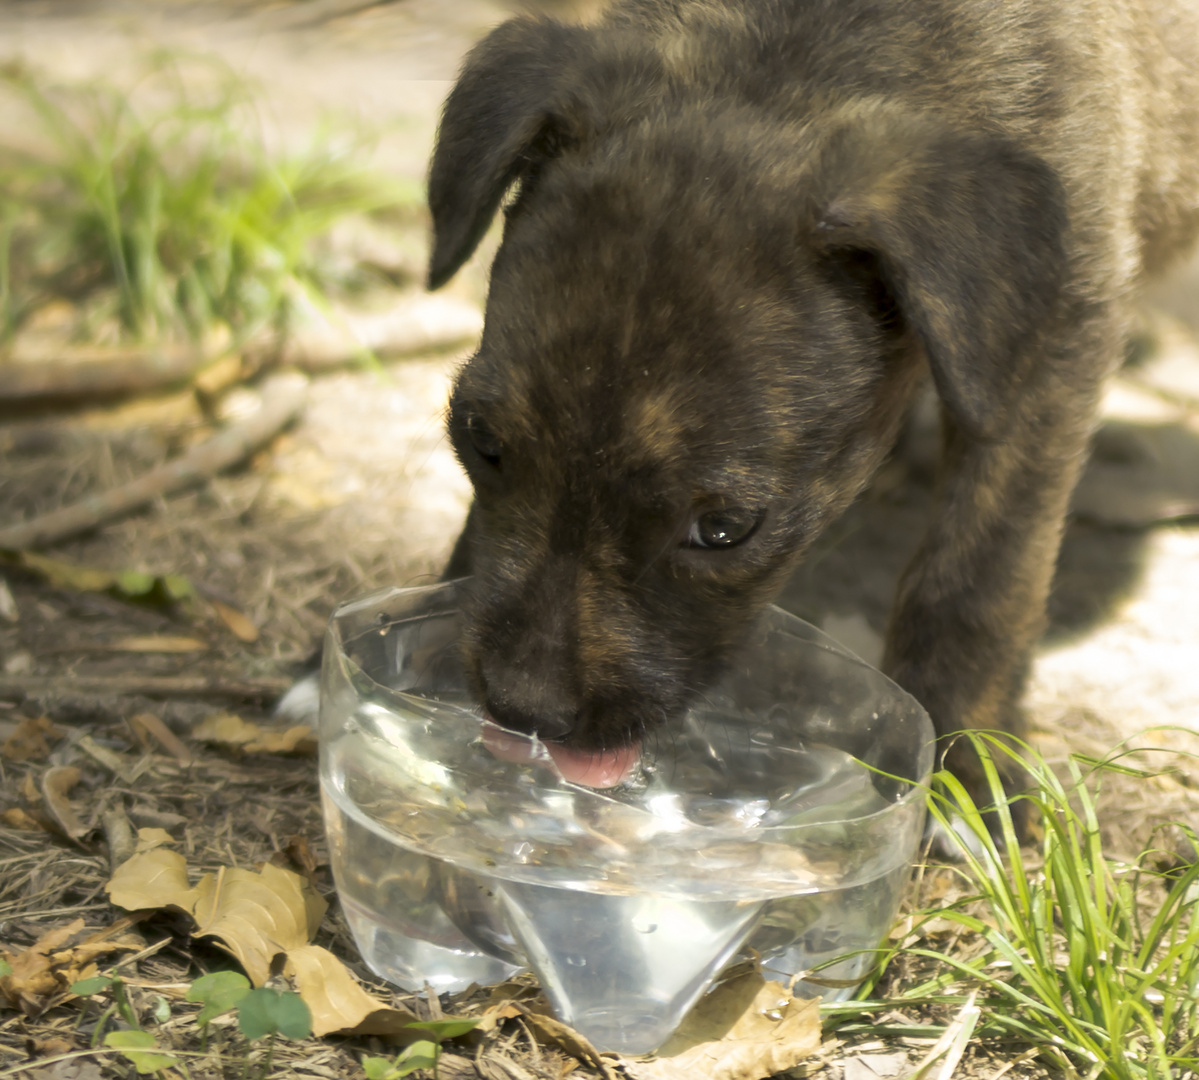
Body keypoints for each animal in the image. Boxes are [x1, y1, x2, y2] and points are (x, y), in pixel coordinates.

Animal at [426, 0, 1194, 810]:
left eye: (724, 531)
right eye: (481, 442)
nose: (522, 707)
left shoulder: (1045, 357)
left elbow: (976, 579)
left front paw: (967, 775)